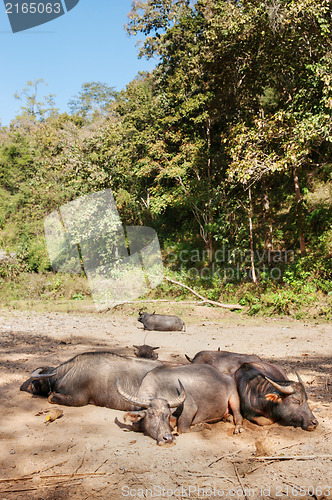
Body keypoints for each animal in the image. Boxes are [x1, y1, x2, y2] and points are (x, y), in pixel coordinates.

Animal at [116, 362, 244, 436]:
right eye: (151, 414)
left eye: (167, 415)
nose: (165, 435)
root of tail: (226, 376)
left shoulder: (190, 407)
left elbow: (183, 428)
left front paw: (203, 425)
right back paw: (227, 417)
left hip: (234, 397)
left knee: (238, 414)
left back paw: (238, 427)